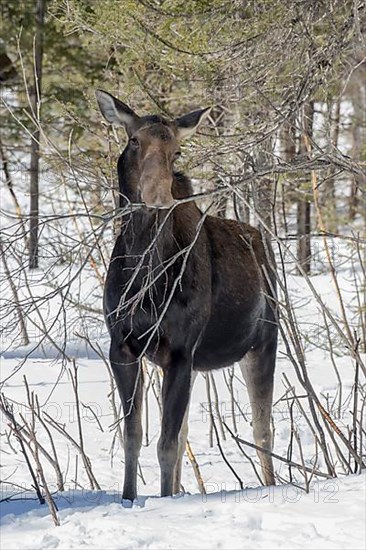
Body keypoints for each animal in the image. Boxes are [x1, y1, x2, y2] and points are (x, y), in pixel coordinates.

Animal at [95, 90, 278, 504]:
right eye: (134, 140)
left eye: (176, 151)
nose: (158, 196)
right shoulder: (122, 345)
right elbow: (134, 435)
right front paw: (129, 498)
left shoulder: (180, 349)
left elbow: (164, 443)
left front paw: (164, 502)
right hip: (198, 363)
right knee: (186, 437)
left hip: (263, 342)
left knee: (263, 429)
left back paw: (272, 486)